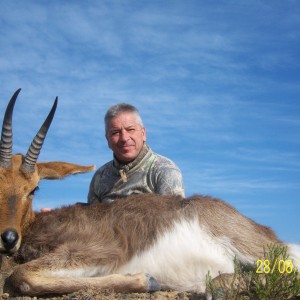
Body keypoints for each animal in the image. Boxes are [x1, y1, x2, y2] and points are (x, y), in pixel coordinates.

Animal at [0, 88, 300, 296]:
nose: (8, 238)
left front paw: (147, 280)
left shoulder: (101, 252)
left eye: (34, 188)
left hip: (257, 249)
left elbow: (21, 276)